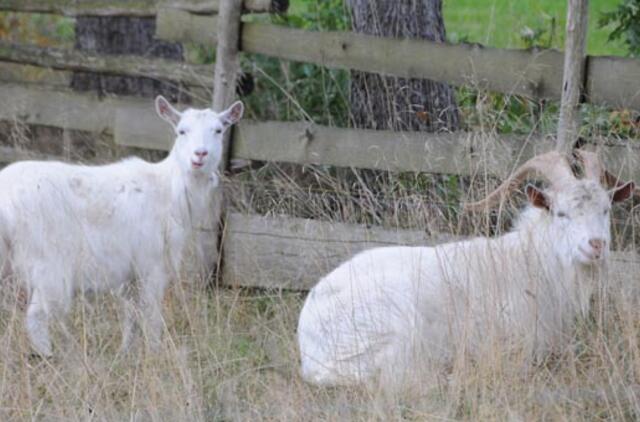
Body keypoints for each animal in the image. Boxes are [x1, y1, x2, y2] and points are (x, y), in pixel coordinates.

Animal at [0, 95, 244, 356]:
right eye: (181, 131)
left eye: (218, 130)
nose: (200, 155)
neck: (168, 190)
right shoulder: (152, 264)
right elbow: (151, 315)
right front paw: (154, 354)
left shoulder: (129, 275)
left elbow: (131, 315)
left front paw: (125, 354)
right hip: (50, 264)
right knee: (37, 317)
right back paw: (51, 357)